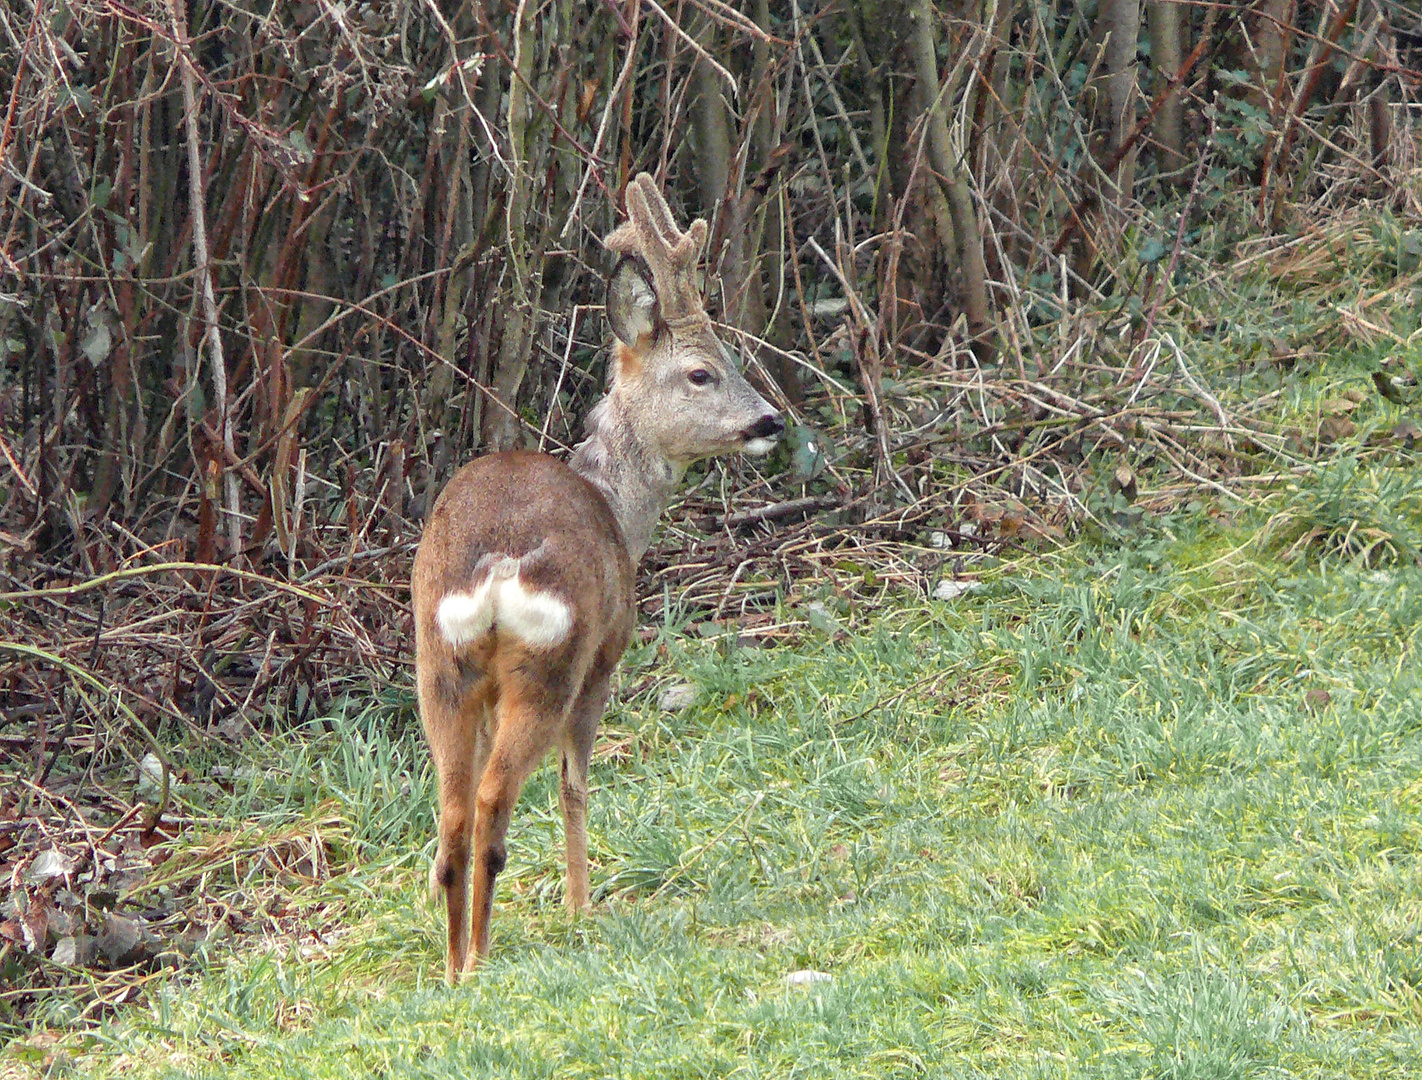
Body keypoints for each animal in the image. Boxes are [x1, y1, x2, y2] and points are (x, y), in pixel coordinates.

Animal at [412, 170, 790, 978]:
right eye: (702, 372)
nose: (771, 422)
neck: (617, 506)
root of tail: (497, 571)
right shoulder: (608, 656)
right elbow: (576, 785)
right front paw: (582, 905)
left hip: (442, 664)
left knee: (454, 807)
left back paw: (455, 961)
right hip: (553, 659)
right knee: (495, 800)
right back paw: (482, 956)